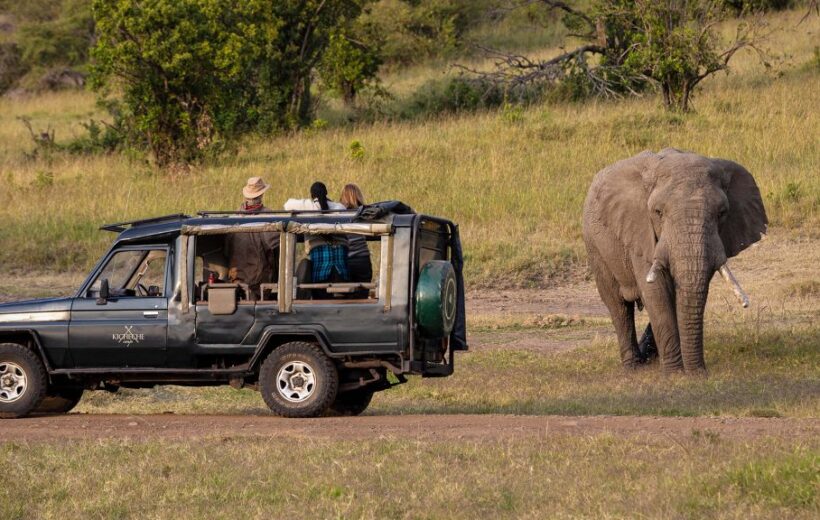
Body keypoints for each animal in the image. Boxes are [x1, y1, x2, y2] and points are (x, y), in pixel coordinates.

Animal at [584, 148, 768, 372]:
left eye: (722, 213)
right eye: (658, 212)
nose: (699, 373)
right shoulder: (641, 233)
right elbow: (656, 293)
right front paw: (674, 373)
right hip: (595, 246)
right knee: (618, 306)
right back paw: (633, 367)